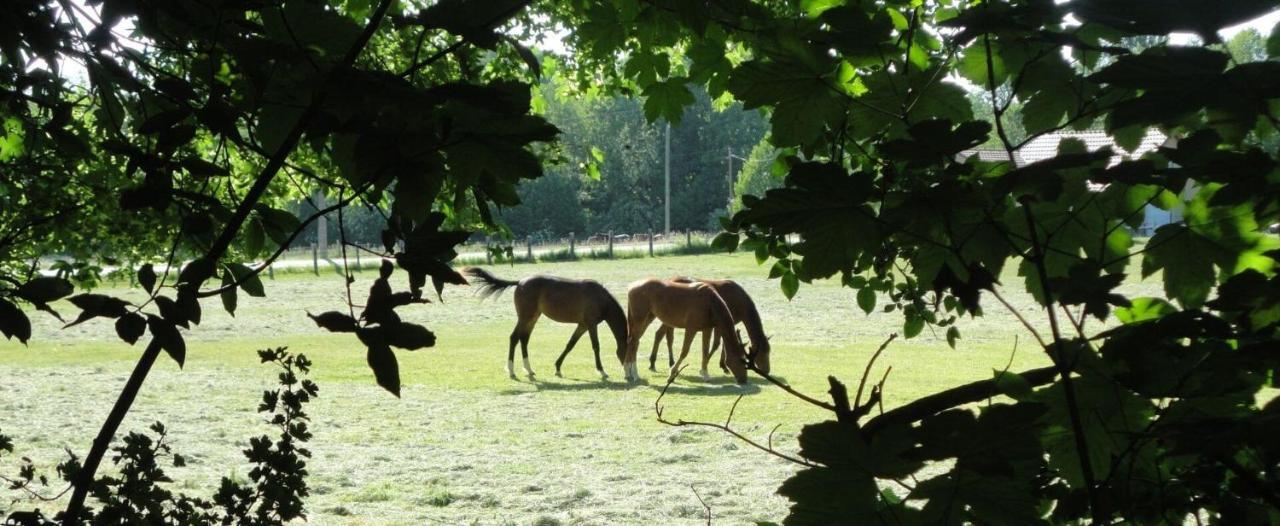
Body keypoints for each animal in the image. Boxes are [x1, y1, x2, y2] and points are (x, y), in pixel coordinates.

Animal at [463, 270, 627, 381]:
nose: (627, 373)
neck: (601, 298)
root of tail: (520, 282)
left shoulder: (582, 325)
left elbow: (570, 344)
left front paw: (558, 368)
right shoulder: (591, 324)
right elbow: (596, 346)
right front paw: (602, 372)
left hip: (533, 318)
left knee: (524, 339)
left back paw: (529, 370)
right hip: (525, 317)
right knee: (514, 338)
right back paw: (511, 371)